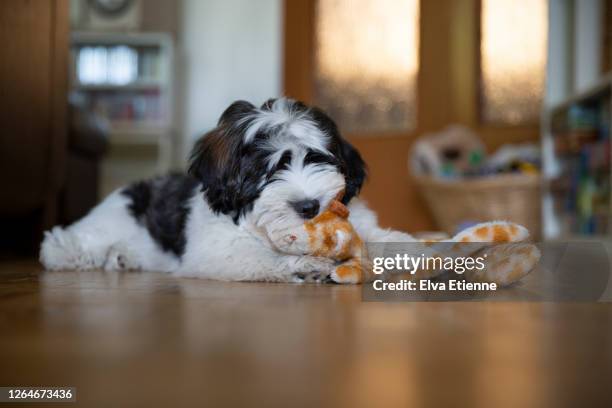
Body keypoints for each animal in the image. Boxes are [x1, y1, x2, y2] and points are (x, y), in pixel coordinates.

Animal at [40, 97, 414, 282]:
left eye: (316, 158)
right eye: (269, 169)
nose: (308, 206)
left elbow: (374, 233)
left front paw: (405, 246)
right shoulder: (216, 251)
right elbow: (261, 258)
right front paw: (304, 265)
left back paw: (124, 258)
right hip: (102, 228)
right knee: (64, 243)